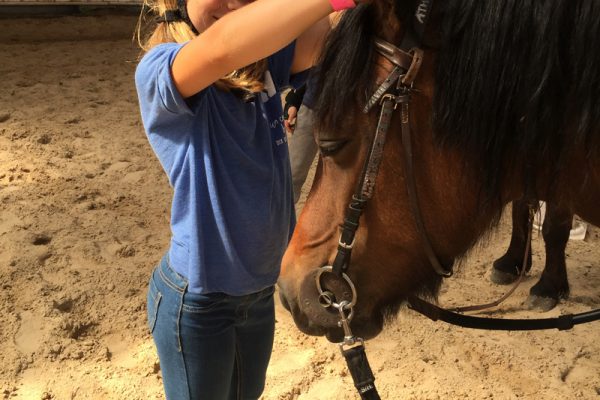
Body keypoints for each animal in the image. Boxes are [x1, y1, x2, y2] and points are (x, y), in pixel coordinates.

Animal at [278, 0, 600, 344]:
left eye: (331, 144)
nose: (285, 292)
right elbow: (521, 205)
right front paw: (514, 261)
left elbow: (554, 226)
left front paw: (549, 285)